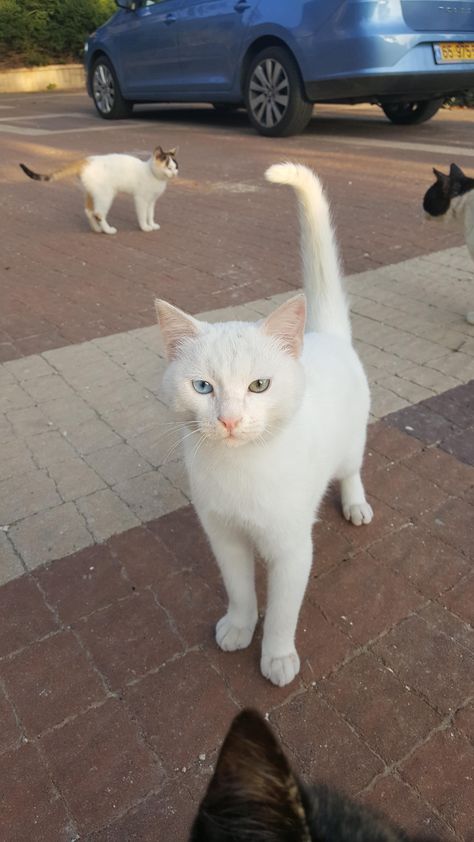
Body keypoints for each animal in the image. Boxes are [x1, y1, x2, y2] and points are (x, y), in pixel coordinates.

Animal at [19, 146, 180, 235]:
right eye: (168, 167)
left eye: (176, 167)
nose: (175, 174)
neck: (153, 175)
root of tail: (85, 160)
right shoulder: (141, 199)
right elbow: (142, 215)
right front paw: (145, 227)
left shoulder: (152, 201)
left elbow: (150, 214)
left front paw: (152, 224)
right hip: (106, 195)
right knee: (98, 213)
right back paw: (107, 230)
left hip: (93, 192)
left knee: (89, 211)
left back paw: (96, 229)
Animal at [156, 162, 374, 684]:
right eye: (203, 387)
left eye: (259, 386)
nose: (230, 420)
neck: (242, 472)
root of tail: (324, 334)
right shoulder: (223, 536)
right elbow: (240, 589)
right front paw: (238, 626)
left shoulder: (293, 547)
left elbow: (282, 611)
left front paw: (276, 656)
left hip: (351, 443)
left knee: (352, 469)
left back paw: (356, 503)